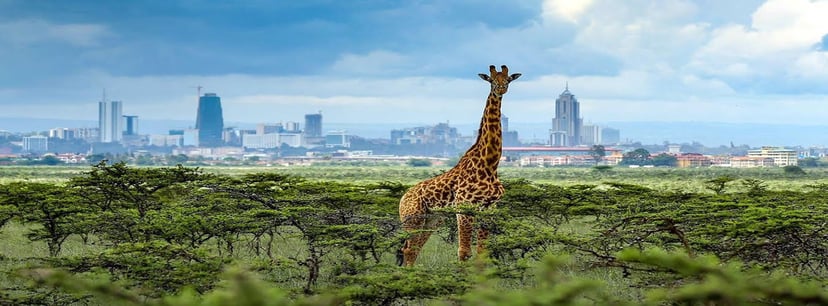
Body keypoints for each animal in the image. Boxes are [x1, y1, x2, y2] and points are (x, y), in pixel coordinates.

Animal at [398, 64, 520, 266]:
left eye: (508, 79)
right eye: (491, 80)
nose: (501, 89)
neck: (489, 165)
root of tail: (402, 198)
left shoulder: (489, 209)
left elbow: (481, 253)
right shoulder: (464, 208)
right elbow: (463, 252)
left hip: (432, 219)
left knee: (414, 249)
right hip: (412, 218)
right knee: (408, 249)